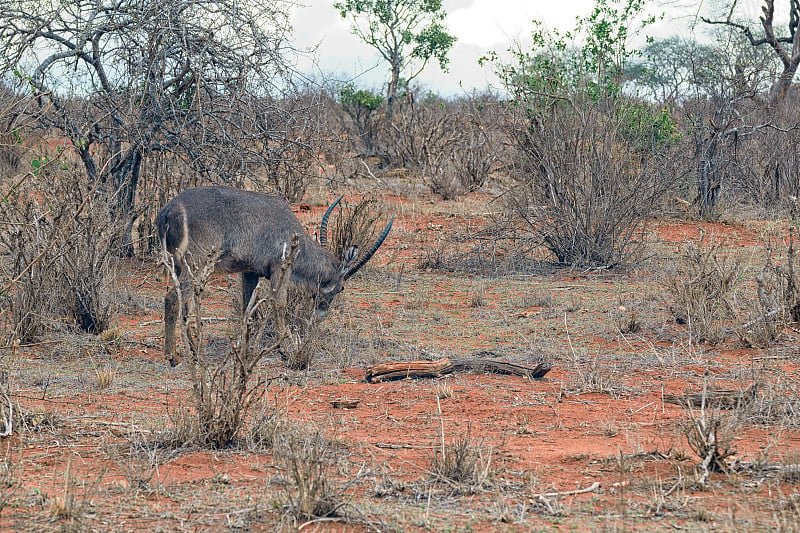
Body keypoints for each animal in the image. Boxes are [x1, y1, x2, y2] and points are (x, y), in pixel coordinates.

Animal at [157, 186, 394, 366]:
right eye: (341, 287)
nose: (320, 315)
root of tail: (168, 210)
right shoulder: (280, 268)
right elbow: (279, 305)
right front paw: (285, 349)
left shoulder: (249, 273)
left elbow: (247, 310)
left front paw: (245, 350)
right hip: (196, 265)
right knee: (172, 299)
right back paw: (172, 357)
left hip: (179, 267)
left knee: (184, 306)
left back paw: (195, 354)